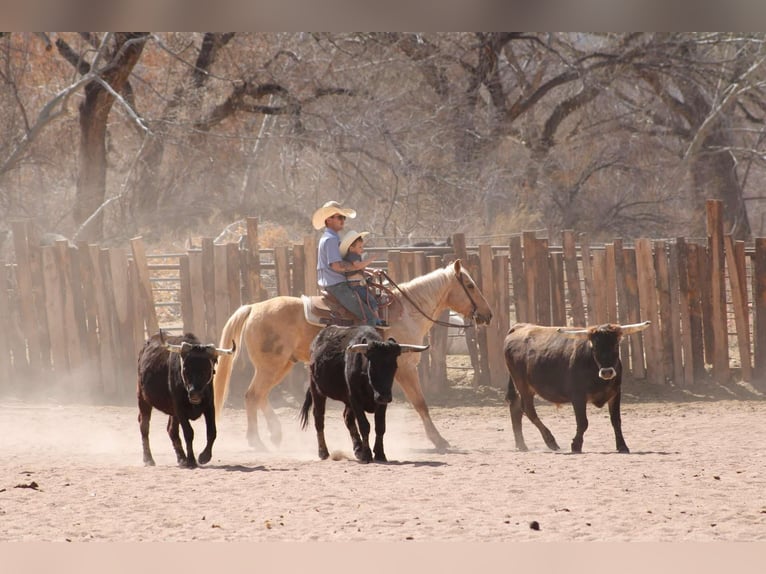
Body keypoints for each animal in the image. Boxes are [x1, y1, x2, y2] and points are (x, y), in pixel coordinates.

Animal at [136, 332, 236, 468]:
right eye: (185, 369)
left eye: (207, 369)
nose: (195, 393)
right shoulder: (180, 409)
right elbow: (188, 433)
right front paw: (191, 460)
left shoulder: (210, 406)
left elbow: (212, 431)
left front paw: (204, 457)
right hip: (143, 398)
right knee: (144, 426)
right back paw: (148, 459)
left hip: (172, 412)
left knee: (171, 430)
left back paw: (181, 458)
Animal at [213, 258, 496, 452]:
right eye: (470, 285)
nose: (488, 314)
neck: (407, 312)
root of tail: (254, 307)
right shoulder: (405, 367)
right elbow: (420, 403)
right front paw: (439, 440)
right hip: (271, 366)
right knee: (252, 396)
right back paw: (257, 441)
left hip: (281, 365)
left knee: (260, 396)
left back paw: (275, 434)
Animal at [302, 326, 432, 466]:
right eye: (373, 366)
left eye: (394, 366)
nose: (384, 396)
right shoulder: (355, 398)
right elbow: (364, 426)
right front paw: (367, 454)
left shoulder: (381, 402)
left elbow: (380, 426)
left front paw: (380, 453)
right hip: (317, 390)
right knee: (319, 419)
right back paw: (323, 452)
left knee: (348, 418)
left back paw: (358, 449)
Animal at [504, 324, 656, 454]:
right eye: (595, 347)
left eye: (615, 345)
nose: (607, 372)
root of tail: (519, 327)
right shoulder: (578, 396)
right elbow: (583, 422)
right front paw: (576, 445)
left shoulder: (615, 394)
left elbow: (616, 421)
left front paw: (622, 446)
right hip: (523, 386)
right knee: (528, 410)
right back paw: (550, 441)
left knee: (516, 407)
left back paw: (521, 445)